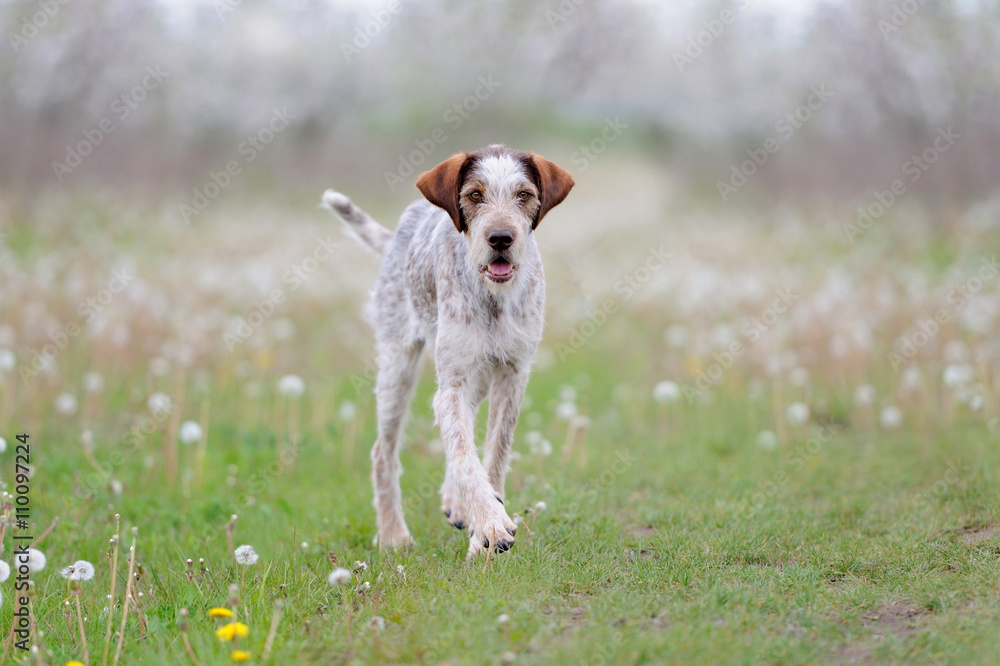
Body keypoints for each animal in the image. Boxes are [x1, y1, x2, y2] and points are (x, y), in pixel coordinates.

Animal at [324, 144, 576, 556]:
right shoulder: (453, 383)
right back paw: (393, 534)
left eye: (523, 194)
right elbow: (463, 454)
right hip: (398, 370)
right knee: (384, 454)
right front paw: (490, 524)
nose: (501, 238)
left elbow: (493, 454)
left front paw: (483, 528)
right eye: (475, 195)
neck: (492, 298)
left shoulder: (512, 376)